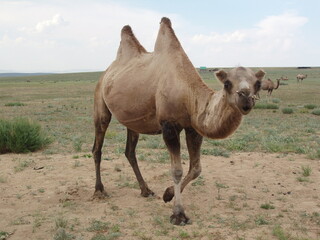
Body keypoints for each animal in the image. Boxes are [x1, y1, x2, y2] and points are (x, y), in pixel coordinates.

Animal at [90, 16, 264, 225]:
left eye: (258, 84)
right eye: (227, 83)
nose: (245, 98)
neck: (188, 92)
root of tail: (106, 72)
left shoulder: (192, 127)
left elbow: (196, 168)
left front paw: (168, 194)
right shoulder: (169, 126)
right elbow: (177, 170)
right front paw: (178, 214)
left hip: (133, 119)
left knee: (130, 151)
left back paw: (145, 190)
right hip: (100, 101)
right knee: (97, 146)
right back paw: (99, 191)